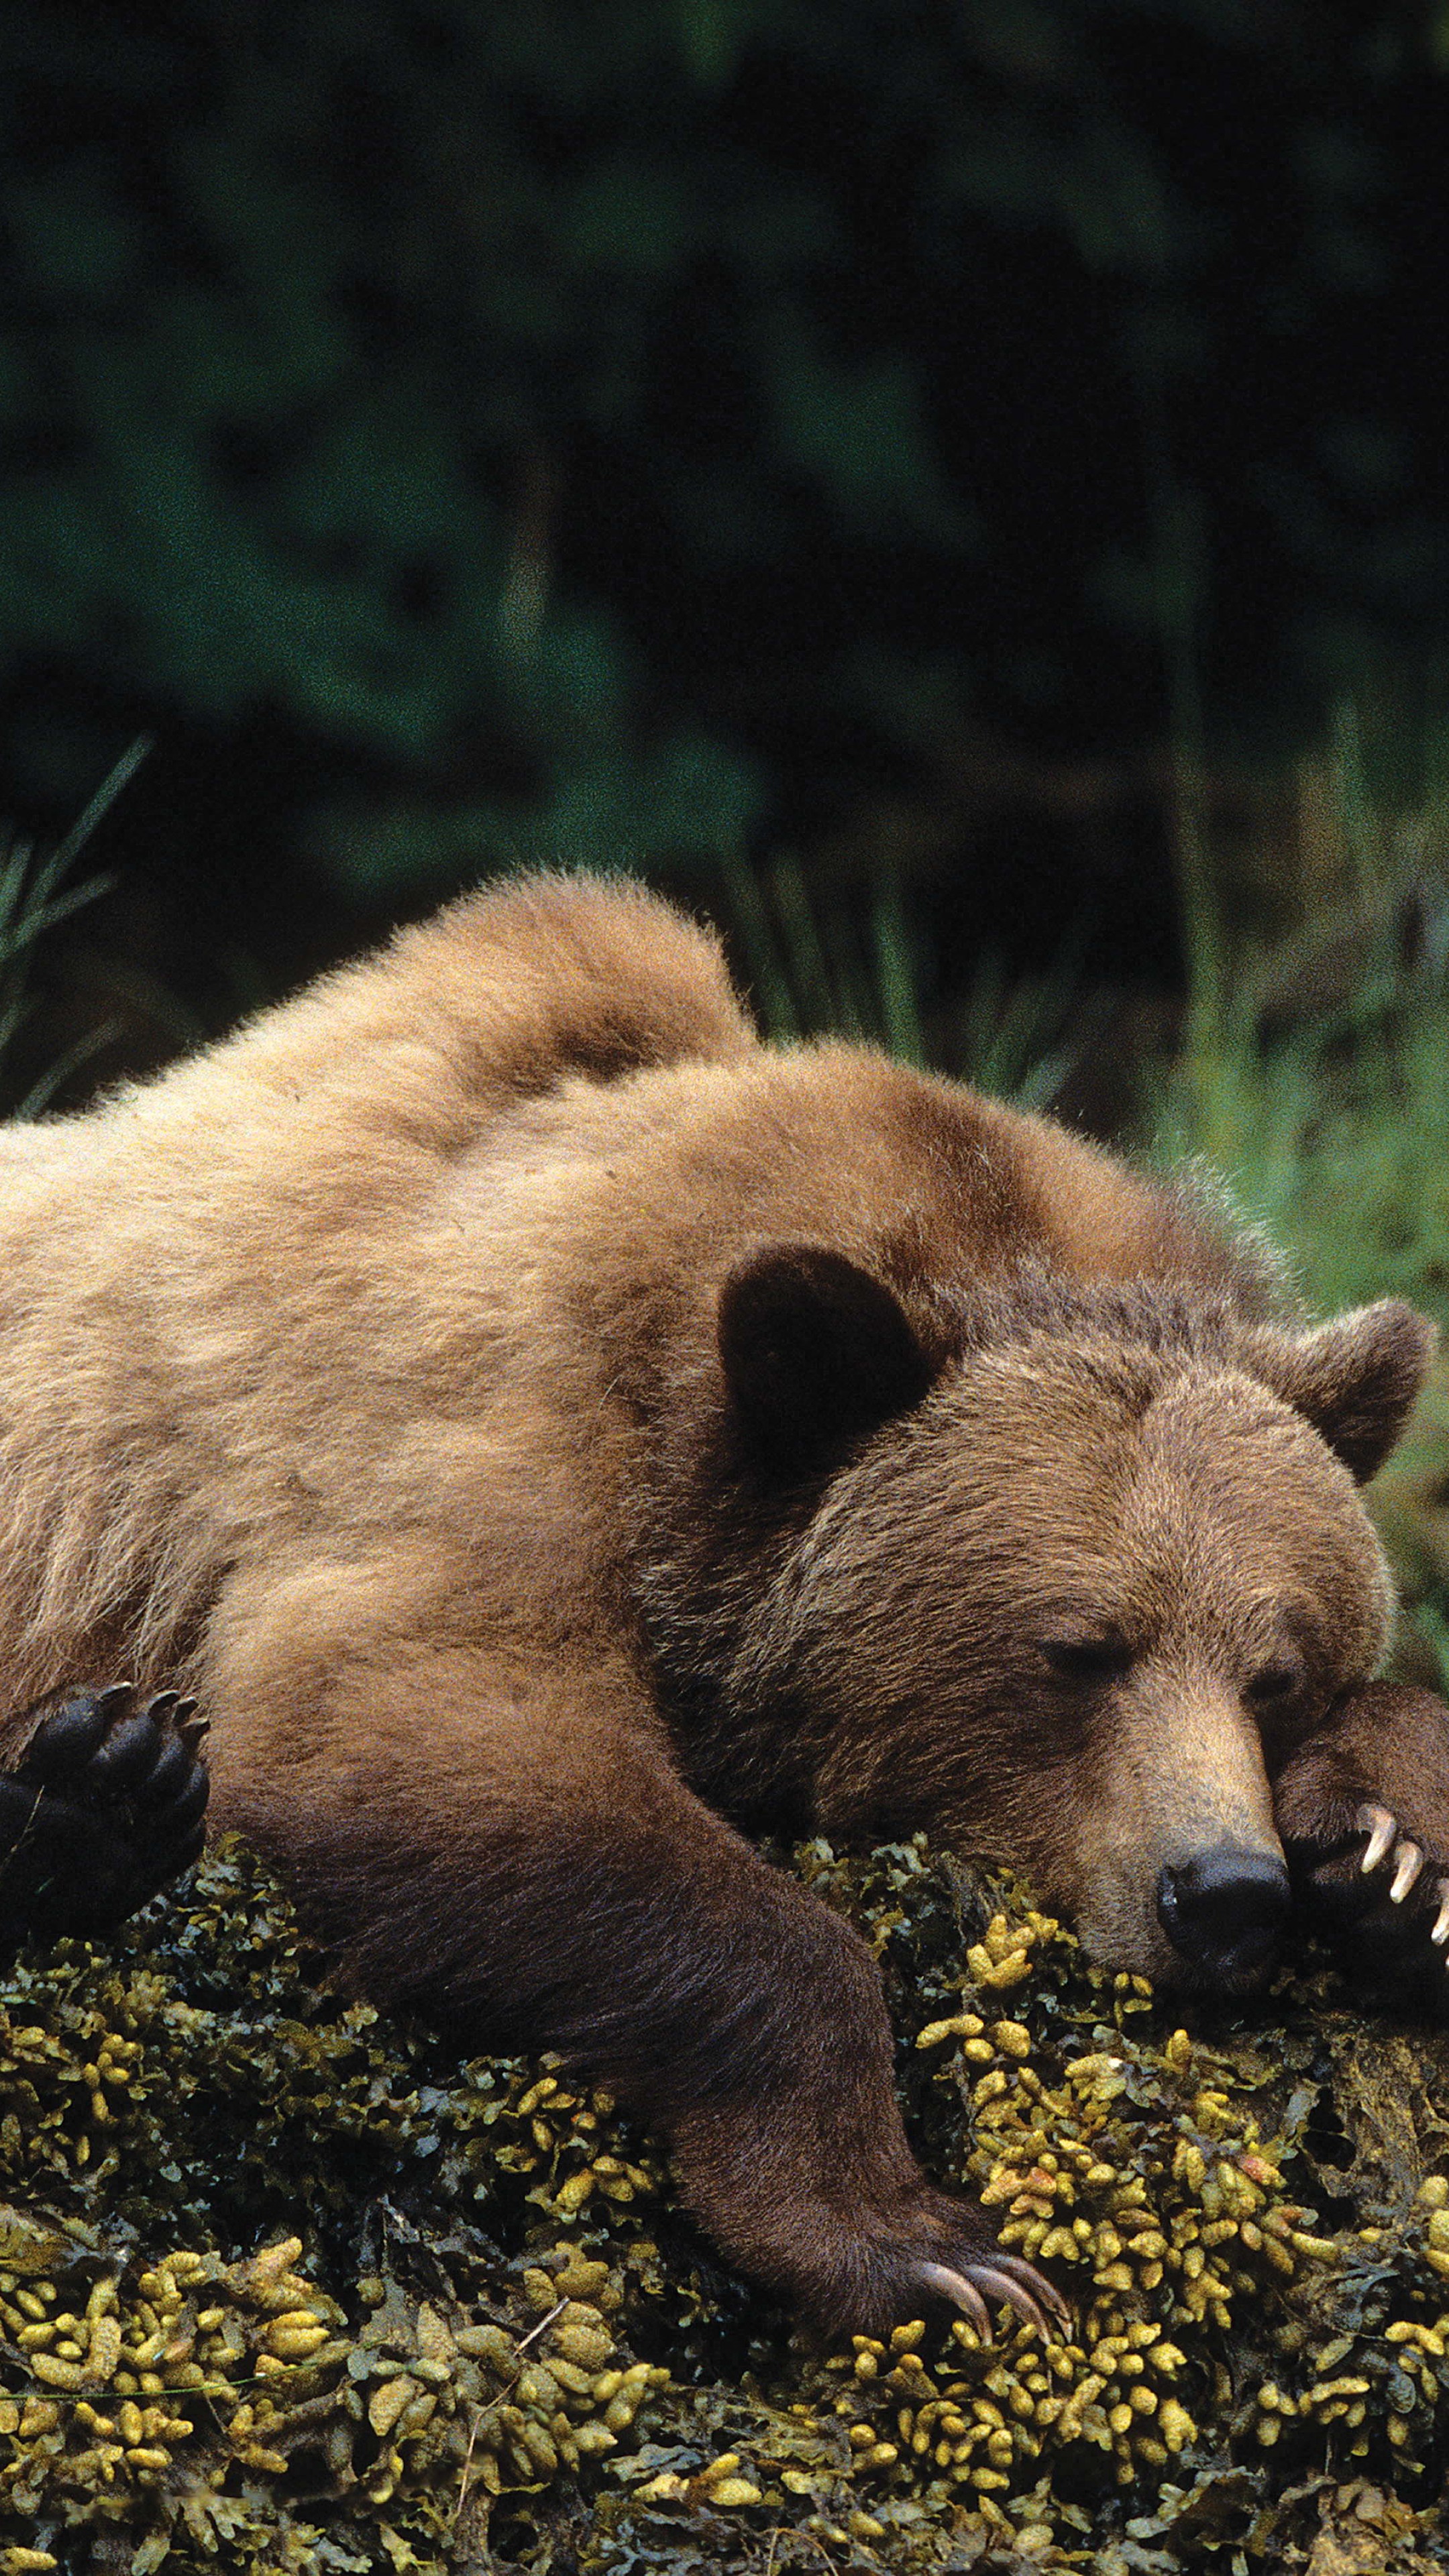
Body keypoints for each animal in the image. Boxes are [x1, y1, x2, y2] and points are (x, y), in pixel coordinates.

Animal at [1, 870, 1447, 2339]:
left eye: (1277, 1671)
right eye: (1078, 1650)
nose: (1225, 1892)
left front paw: (1392, 1853)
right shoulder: (485, 1433)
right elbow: (400, 1729)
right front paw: (923, 2243)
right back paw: (98, 1793)